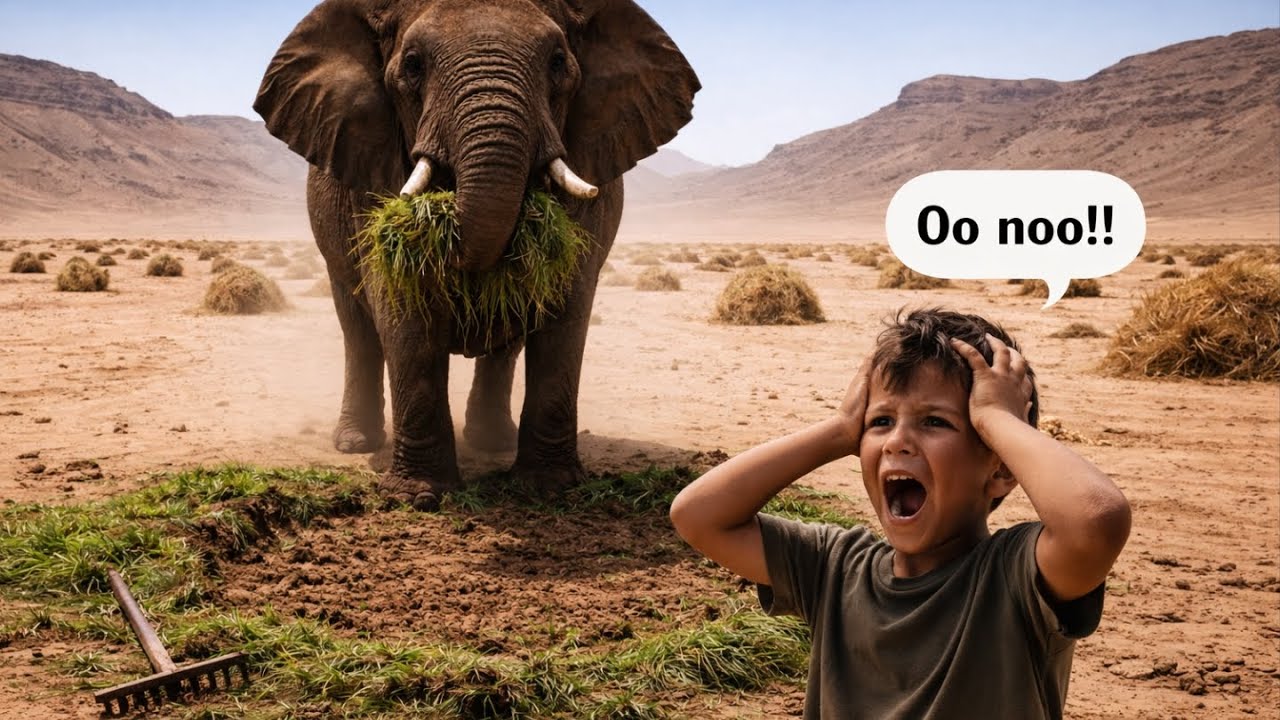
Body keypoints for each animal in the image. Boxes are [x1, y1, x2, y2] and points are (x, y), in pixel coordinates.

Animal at [255, 0, 699, 508]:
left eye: (558, 63)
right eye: (412, 66)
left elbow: (565, 309)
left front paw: (549, 488)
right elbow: (405, 307)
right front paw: (420, 496)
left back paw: (492, 443)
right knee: (358, 329)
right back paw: (355, 443)